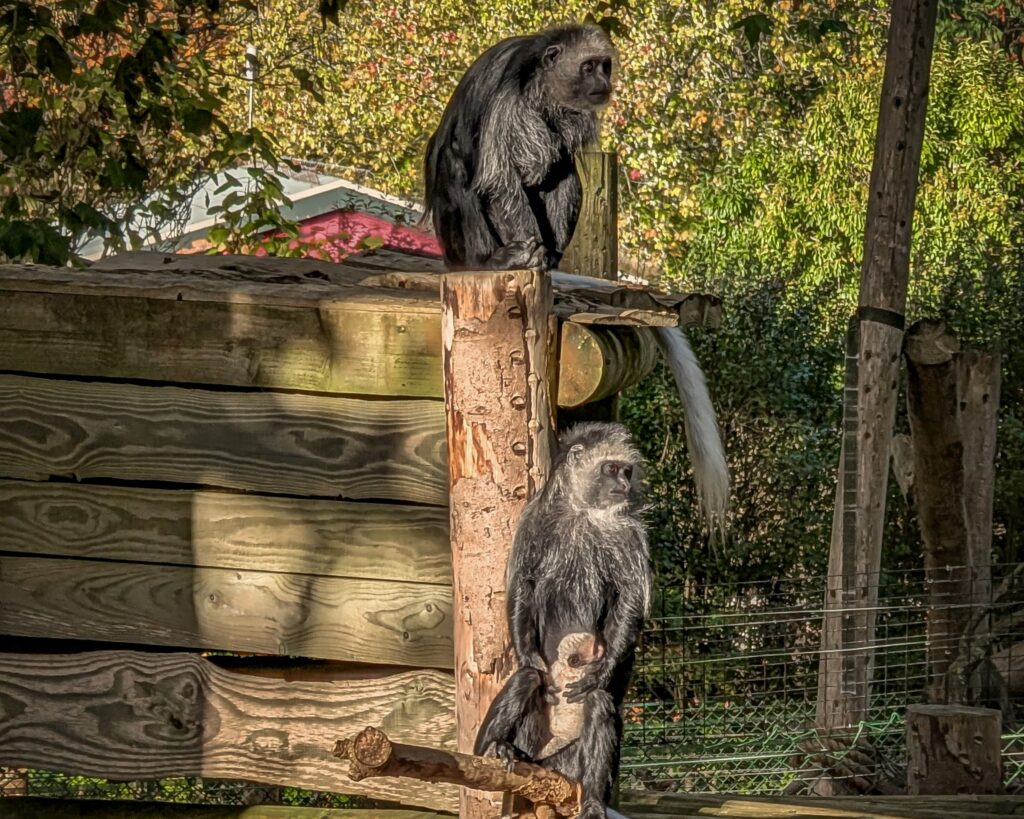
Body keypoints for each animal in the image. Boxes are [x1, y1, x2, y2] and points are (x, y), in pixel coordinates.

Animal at [422, 24, 730, 536]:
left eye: (603, 66)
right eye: (590, 67)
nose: (604, 82)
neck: (545, 91)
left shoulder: (575, 116)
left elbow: (558, 167)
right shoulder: (510, 100)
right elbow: (500, 177)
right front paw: (522, 247)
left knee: (564, 170)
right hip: (460, 237)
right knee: (466, 164)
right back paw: (504, 257)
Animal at [474, 422, 652, 819]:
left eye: (626, 471)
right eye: (611, 469)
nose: (624, 484)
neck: (582, 510)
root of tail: (547, 762)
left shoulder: (627, 533)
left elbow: (630, 598)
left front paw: (602, 671)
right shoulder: (534, 520)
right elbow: (523, 583)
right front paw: (528, 655)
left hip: (570, 760)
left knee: (599, 703)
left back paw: (593, 801)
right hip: (530, 740)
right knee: (527, 679)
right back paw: (494, 747)